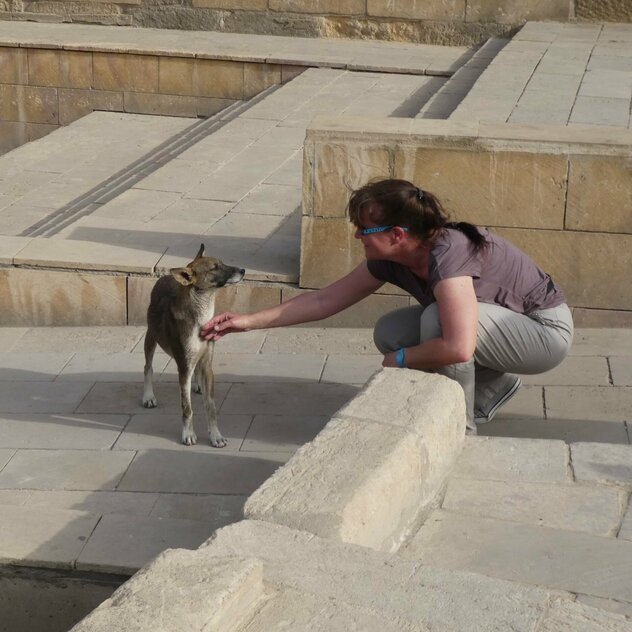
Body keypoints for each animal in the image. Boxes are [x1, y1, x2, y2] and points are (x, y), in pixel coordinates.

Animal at [143, 244, 244, 446]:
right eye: (214, 268)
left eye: (222, 263)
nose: (243, 270)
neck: (201, 318)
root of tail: (166, 276)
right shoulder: (184, 367)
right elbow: (187, 407)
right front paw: (188, 434)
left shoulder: (207, 364)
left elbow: (210, 406)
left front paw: (216, 436)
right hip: (151, 338)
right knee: (147, 368)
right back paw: (148, 397)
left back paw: (197, 385)